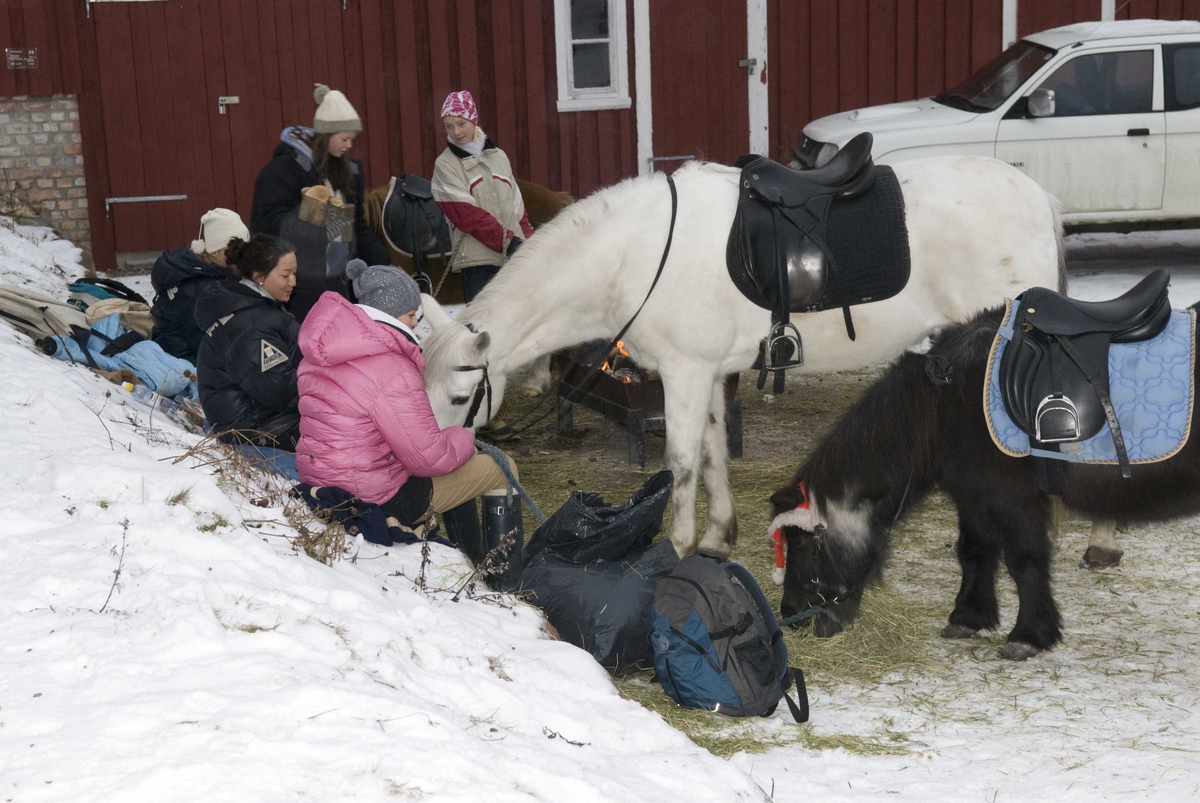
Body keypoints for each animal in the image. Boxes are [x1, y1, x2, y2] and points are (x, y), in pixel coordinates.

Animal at [417, 156, 1065, 556]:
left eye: (460, 396)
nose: (433, 476)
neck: (631, 255)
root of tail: (1039, 197)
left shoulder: (682, 371)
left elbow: (680, 462)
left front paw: (676, 546)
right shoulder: (706, 372)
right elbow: (711, 453)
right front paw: (717, 537)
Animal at [768, 300, 1200, 657]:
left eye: (803, 545)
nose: (791, 614)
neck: (943, 402)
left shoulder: (1014, 499)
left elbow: (1024, 560)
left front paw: (1029, 635)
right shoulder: (973, 495)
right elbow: (973, 551)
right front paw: (968, 617)